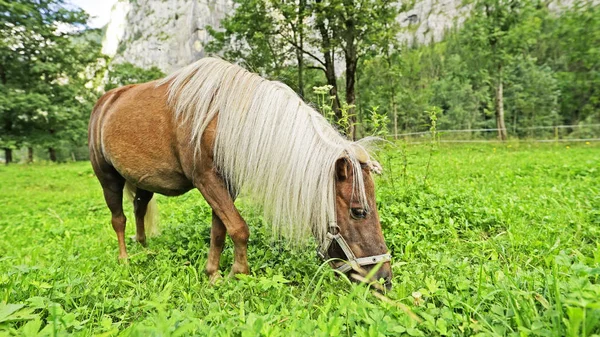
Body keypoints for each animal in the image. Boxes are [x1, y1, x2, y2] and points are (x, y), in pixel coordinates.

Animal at [86, 57, 392, 286]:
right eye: (358, 211)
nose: (384, 279)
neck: (222, 117)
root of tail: (105, 102)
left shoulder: (226, 184)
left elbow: (219, 230)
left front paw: (214, 273)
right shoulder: (207, 180)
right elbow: (239, 228)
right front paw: (239, 273)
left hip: (142, 183)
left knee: (139, 209)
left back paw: (144, 247)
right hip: (108, 179)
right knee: (119, 220)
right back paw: (125, 259)